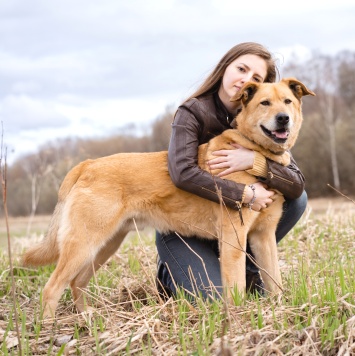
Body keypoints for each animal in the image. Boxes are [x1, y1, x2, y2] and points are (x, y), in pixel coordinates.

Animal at [23, 78, 314, 318]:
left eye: (287, 101)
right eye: (264, 102)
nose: (283, 118)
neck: (256, 151)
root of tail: (87, 164)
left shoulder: (263, 236)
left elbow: (274, 280)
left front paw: (280, 310)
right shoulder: (234, 237)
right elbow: (236, 287)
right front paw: (238, 317)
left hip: (105, 244)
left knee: (77, 282)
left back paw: (87, 319)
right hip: (84, 243)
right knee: (52, 288)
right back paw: (50, 329)